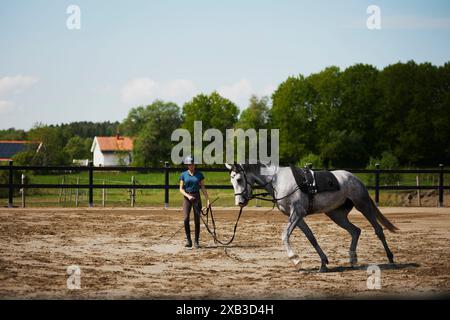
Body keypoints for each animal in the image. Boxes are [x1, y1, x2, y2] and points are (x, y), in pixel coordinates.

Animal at [225, 162, 398, 272]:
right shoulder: (297, 217)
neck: (278, 181)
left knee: (378, 230)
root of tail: (354, 178)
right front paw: (323, 263)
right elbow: (311, 238)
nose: (239, 202)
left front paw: (295, 260)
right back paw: (352, 259)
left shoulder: (297, 213)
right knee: (356, 231)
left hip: (363, 205)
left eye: (239, 179)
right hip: (336, 214)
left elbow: (285, 236)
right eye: (232, 181)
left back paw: (390, 259)